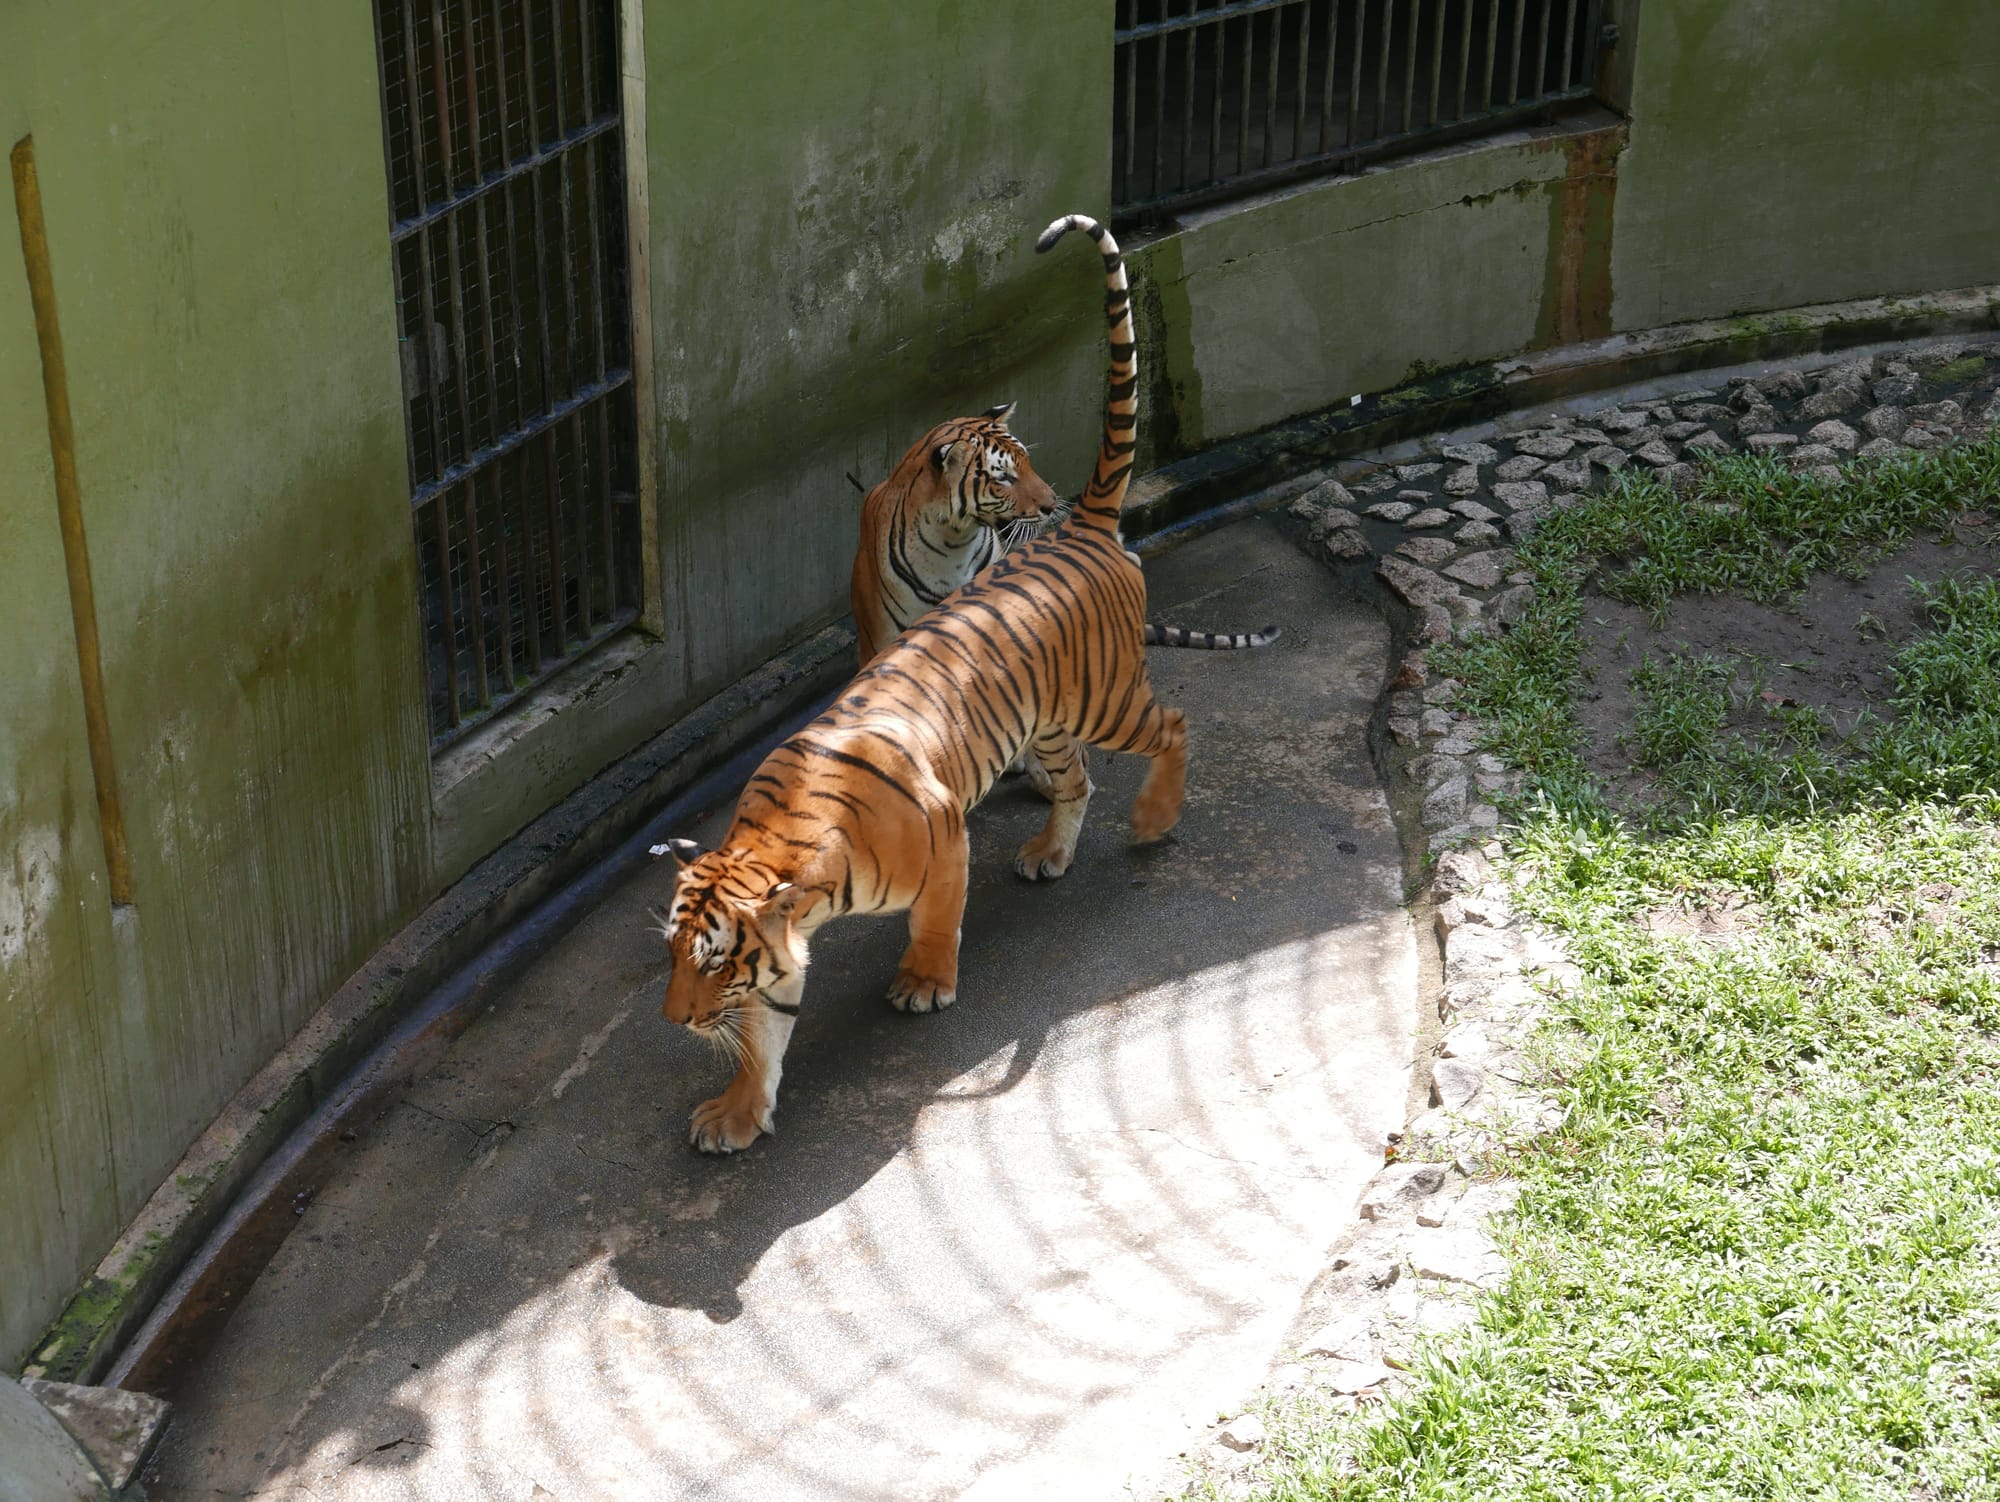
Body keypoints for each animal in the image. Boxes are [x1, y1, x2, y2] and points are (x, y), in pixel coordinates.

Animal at [653, 212, 1186, 1153]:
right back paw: (1050, 854)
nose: (677, 1021)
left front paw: (925, 982)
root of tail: (1078, 525)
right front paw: (739, 1111)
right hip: (1051, 725)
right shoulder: (778, 951)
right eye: (674, 955)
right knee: (1078, 780)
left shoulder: (943, 835)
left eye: (712, 958)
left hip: (1109, 699)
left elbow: (938, 917)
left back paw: (1156, 819)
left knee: (1176, 724)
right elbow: (764, 1034)